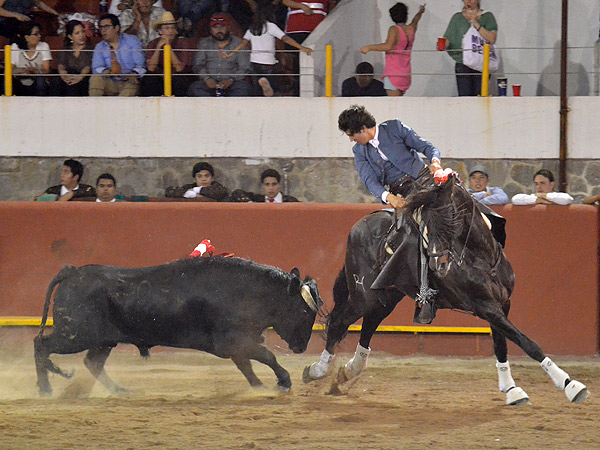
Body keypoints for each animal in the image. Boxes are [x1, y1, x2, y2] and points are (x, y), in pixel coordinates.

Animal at [34, 256, 322, 394]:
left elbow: (248, 365)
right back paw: (46, 388)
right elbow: (266, 356)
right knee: (41, 344)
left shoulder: (236, 344)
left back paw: (119, 391)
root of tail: (73, 271)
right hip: (74, 334)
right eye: (303, 311)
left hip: (102, 340)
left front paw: (260, 387)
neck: (248, 291)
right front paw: (283, 382)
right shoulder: (233, 341)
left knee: (92, 363)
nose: (301, 347)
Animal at [308, 171, 588, 404]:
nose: (439, 263)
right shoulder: (485, 307)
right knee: (339, 323)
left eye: (451, 216)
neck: (482, 258)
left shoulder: (501, 305)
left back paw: (347, 373)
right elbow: (526, 342)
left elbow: (502, 344)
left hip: (386, 297)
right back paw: (317, 370)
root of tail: (359, 225)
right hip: (364, 296)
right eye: (421, 222)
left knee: (368, 326)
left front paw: (512, 389)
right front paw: (570, 385)